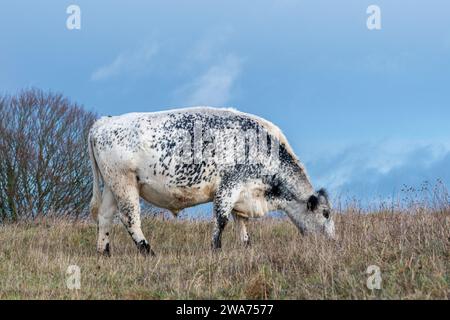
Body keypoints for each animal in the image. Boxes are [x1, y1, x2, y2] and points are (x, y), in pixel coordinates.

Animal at [88, 106, 334, 256]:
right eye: (326, 213)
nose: (333, 242)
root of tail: (104, 122)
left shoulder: (242, 193)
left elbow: (241, 222)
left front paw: (247, 247)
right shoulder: (228, 187)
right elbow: (221, 220)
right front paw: (216, 249)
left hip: (111, 185)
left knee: (105, 216)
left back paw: (104, 252)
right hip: (124, 182)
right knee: (129, 218)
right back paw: (149, 251)